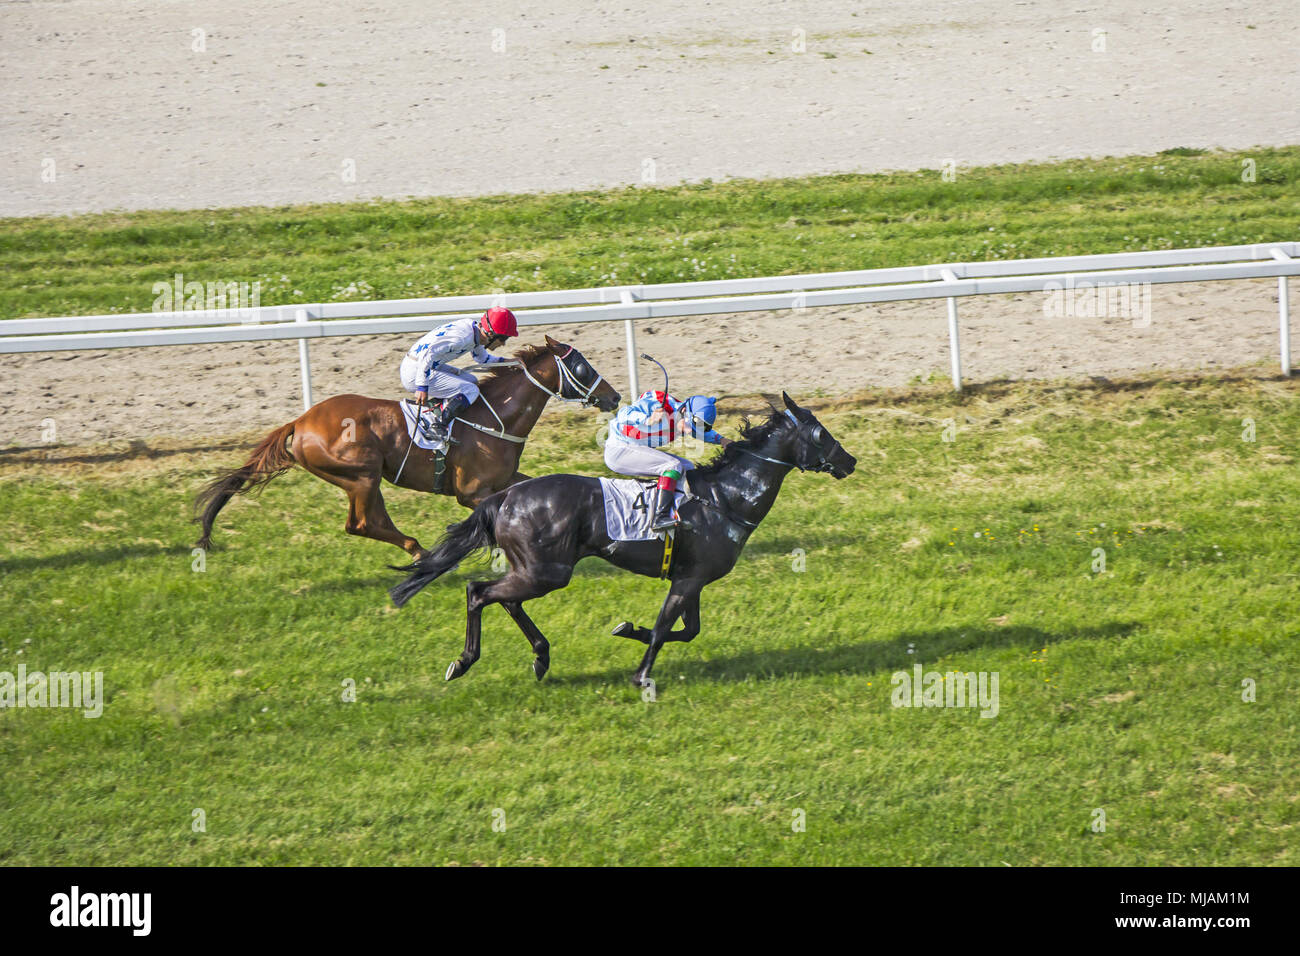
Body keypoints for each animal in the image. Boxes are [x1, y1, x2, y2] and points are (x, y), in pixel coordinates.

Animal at [192, 338, 618, 556]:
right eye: (583, 368)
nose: (613, 398)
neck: (495, 417)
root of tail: (300, 421)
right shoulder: (471, 493)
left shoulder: (506, 477)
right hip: (360, 475)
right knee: (361, 523)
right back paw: (419, 552)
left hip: (368, 478)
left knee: (371, 522)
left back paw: (417, 551)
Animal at [387, 392, 852, 691]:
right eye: (821, 434)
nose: (850, 460)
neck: (726, 498)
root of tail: (504, 497)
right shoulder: (689, 579)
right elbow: (666, 628)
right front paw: (641, 676)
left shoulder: (691, 577)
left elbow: (688, 631)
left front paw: (628, 629)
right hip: (547, 571)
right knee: (478, 591)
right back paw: (465, 661)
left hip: (535, 569)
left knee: (504, 599)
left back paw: (541, 656)